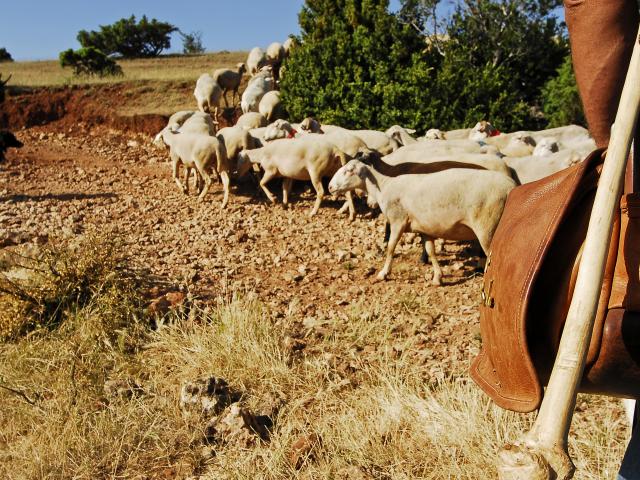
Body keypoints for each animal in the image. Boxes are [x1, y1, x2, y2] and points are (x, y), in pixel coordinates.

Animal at [328, 159, 516, 285]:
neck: (384, 187)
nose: (330, 187)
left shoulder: (397, 221)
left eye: (349, 170)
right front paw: (437, 278)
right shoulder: (425, 229)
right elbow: (430, 251)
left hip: (487, 225)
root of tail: (511, 187)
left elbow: (390, 248)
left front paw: (383, 273)